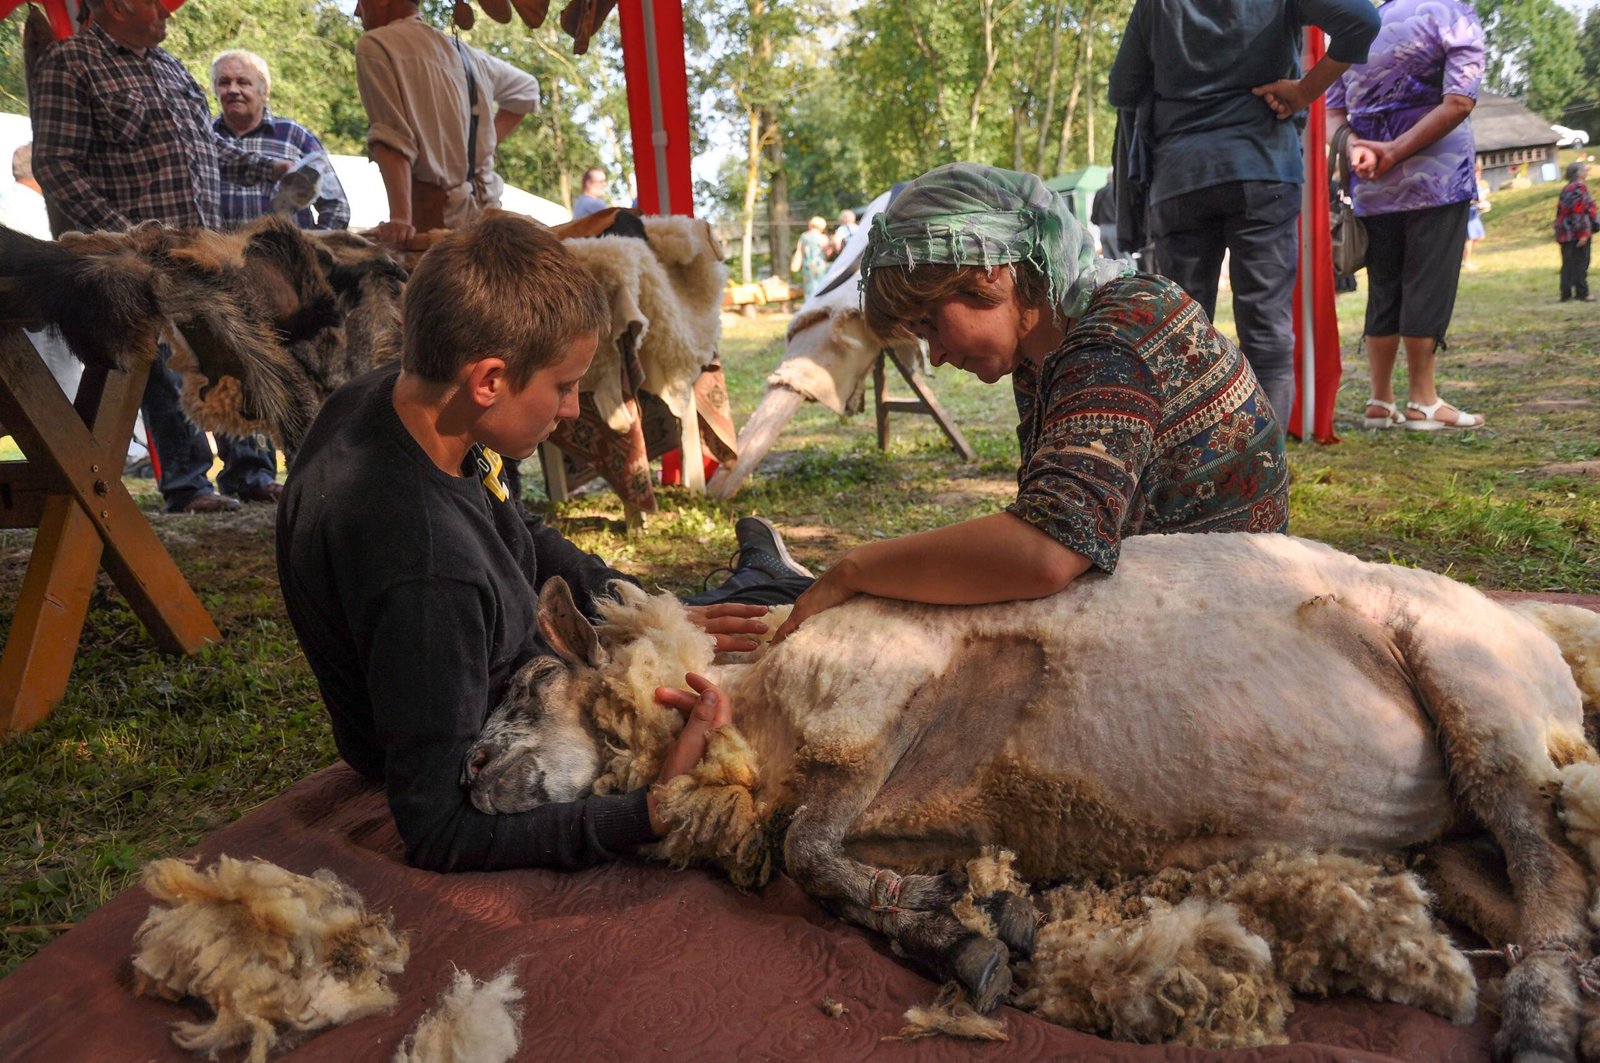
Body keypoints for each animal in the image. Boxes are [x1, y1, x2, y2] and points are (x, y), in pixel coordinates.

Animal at [467, 534, 1600, 1056]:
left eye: (528, 683)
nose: (471, 777)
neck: (759, 717)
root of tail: (1539, 639)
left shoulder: (888, 689)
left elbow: (803, 850)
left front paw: (947, 925)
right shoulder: (909, 808)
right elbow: (833, 868)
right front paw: (969, 926)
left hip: (1483, 703)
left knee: (1549, 867)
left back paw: (1541, 1018)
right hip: (1456, 821)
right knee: (1543, 890)